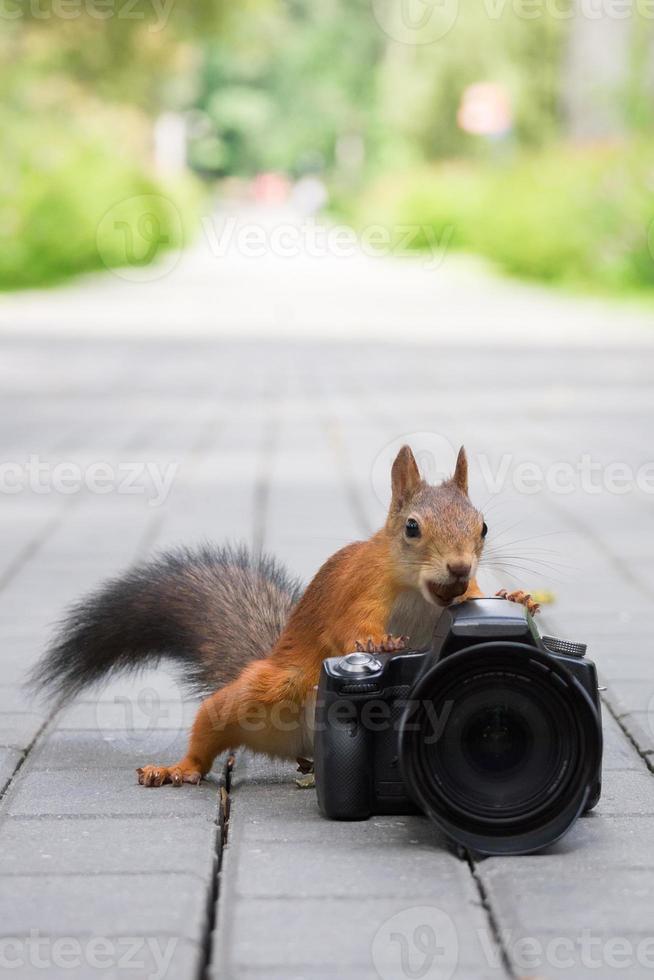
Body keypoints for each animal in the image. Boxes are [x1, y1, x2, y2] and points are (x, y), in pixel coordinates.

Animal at [33, 444, 540, 788]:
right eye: (412, 528)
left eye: (483, 526)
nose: (458, 566)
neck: (420, 595)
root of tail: (300, 743)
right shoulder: (360, 590)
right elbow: (349, 627)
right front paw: (377, 644)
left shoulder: (464, 595)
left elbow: (483, 595)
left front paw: (515, 594)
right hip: (268, 690)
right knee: (212, 722)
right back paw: (176, 768)